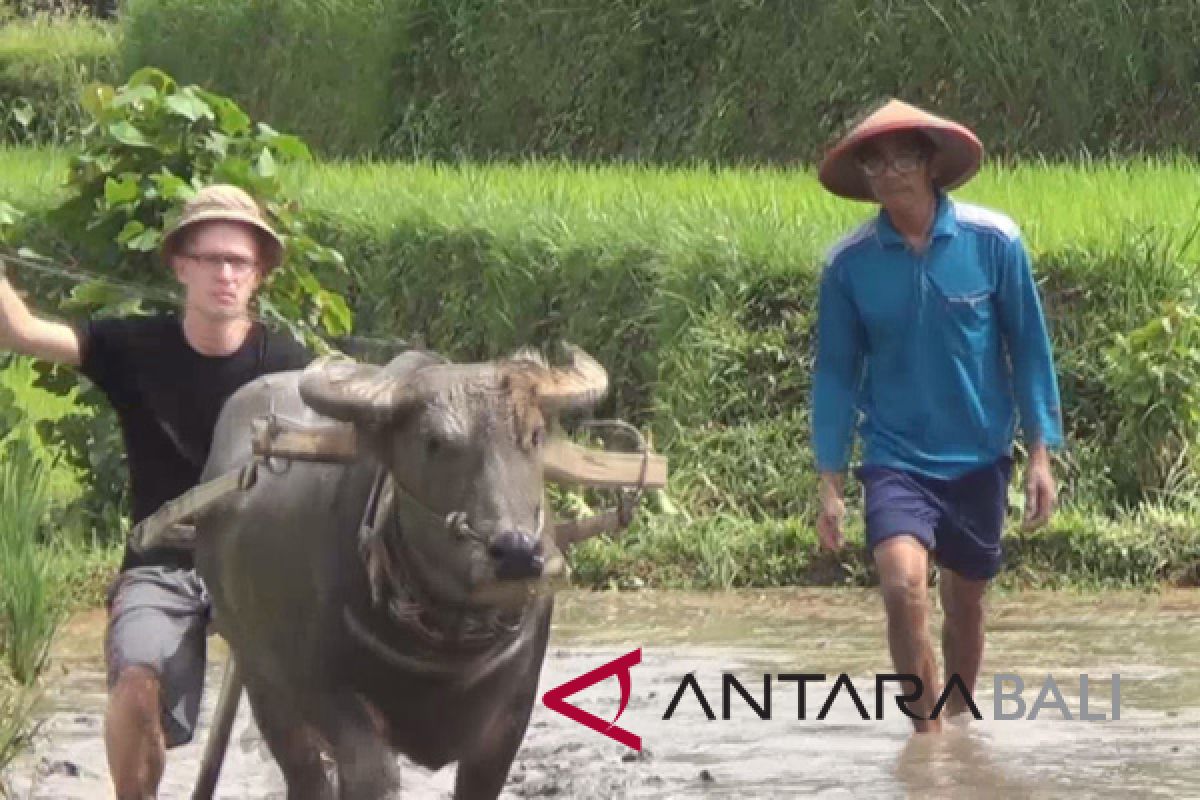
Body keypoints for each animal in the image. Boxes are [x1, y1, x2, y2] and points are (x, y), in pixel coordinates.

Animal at [195, 345, 609, 800]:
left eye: (534, 436)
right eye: (434, 443)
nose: (516, 553)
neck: (446, 644)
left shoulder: (511, 713)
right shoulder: (318, 690)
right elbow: (371, 771)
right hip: (258, 675)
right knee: (305, 775)